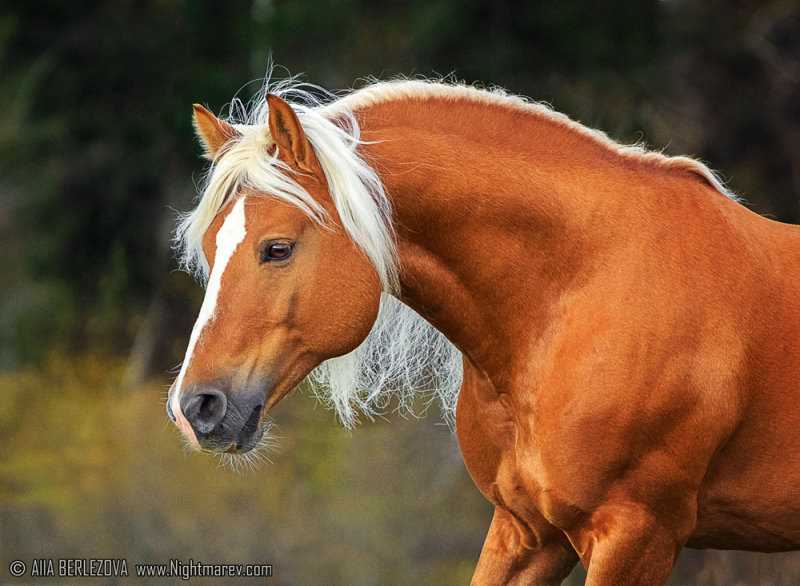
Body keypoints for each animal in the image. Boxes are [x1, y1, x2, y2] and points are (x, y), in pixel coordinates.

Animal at [167, 78, 800, 584]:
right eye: (209, 250)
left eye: (277, 248)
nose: (195, 407)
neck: (582, 291)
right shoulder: (527, 531)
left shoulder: (638, 533)